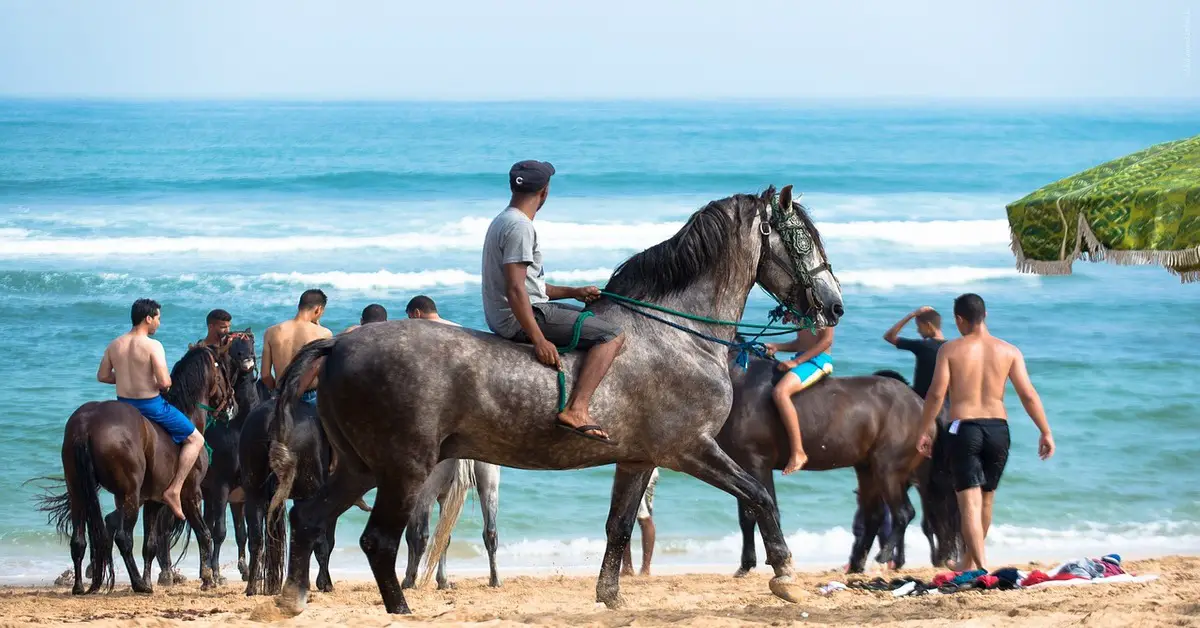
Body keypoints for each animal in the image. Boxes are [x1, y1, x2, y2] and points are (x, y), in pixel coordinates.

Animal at [36, 343, 237, 595]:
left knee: (79, 540)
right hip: (129, 494)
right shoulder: (190, 494)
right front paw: (207, 578)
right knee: (123, 537)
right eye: (225, 371)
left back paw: (82, 586)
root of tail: (86, 424)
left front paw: (151, 579)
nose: (233, 406)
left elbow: (149, 545)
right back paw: (137, 584)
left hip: (79, 492)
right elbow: (204, 534)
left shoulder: (153, 500)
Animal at [270, 186, 844, 614]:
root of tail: (338, 344)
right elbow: (760, 496)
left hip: (362, 466)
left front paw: (610, 597)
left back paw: (294, 598)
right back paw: (399, 610)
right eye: (800, 238)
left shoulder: (638, 459)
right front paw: (786, 576)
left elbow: (618, 526)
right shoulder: (690, 449)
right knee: (378, 541)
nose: (835, 306)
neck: (676, 333)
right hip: (403, 469)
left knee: (310, 518)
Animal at [715, 355, 960, 578]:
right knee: (875, 517)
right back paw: (856, 566)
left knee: (902, 514)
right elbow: (747, 516)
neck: (742, 379)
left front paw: (776, 561)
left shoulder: (757, 463)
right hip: (868, 470)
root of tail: (920, 403)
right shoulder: (741, 464)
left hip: (887, 471)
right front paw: (747, 565)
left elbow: (763, 509)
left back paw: (880, 561)